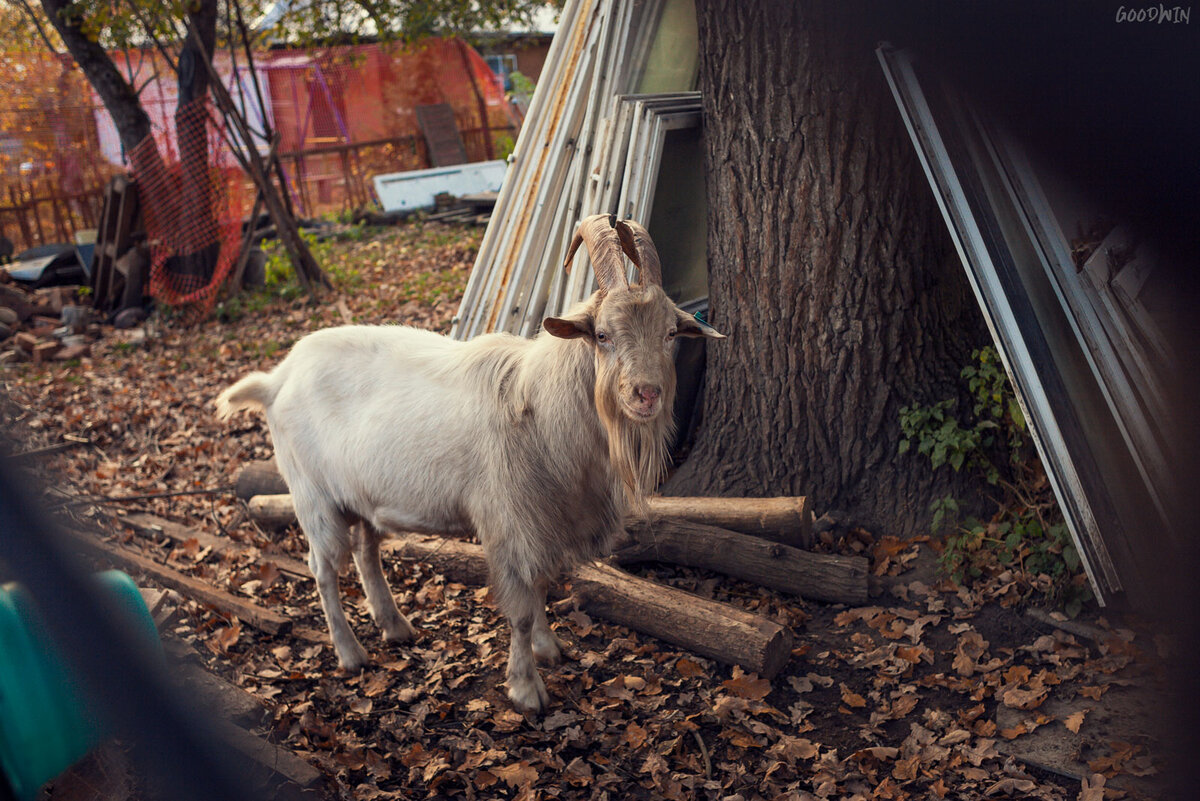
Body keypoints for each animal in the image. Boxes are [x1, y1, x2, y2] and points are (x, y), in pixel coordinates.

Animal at [213, 214, 720, 714]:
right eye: (602, 335)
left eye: (670, 333)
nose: (647, 394)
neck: (541, 404)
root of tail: (277, 379)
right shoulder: (511, 521)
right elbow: (520, 609)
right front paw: (526, 690)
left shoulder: (542, 521)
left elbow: (540, 587)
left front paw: (548, 648)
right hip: (312, 496)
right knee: (322, 569)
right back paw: (350, 653)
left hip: (361, 494)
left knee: (365, 551)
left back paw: (394, 626)